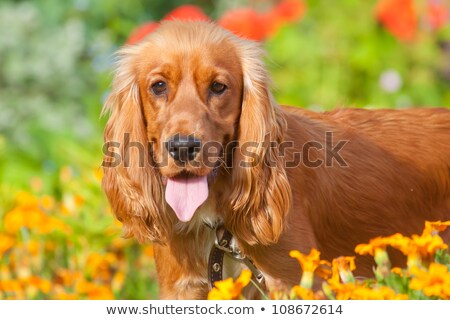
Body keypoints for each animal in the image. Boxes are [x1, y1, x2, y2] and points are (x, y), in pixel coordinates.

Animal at [101, 21, 450, 298]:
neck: (217, 222)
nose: (183, 147)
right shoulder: (184, 288)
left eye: (218, 87)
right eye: (158, 86)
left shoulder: (294, 282)